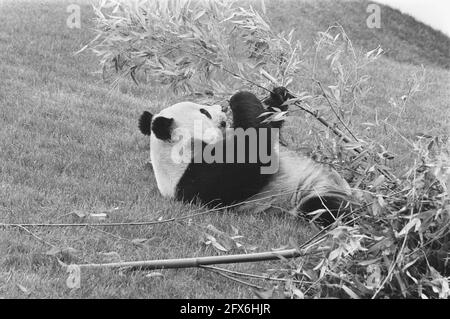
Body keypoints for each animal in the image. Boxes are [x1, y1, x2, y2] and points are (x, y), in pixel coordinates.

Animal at [139, 89, 354, 226]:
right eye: (204, 111)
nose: (222, 107)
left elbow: (268, 131)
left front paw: (278, 96)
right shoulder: (196, 178)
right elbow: (254, 157)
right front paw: (239, 97)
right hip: (313, 193)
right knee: (323, 207)